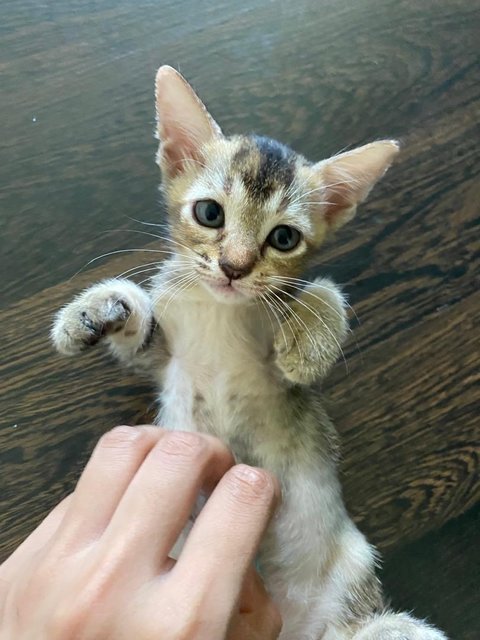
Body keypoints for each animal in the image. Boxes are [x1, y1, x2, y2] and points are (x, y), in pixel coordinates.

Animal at [52, 66, 446, 640]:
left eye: (283, 238)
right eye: (209, 212)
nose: (234, 267)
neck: (220, 310)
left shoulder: (284, 376)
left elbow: (325, 293)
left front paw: (306, 342)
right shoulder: (165, 361)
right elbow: (140, 327)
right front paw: (95, 310)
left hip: (353, 588)